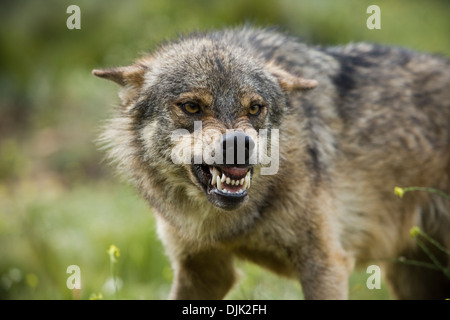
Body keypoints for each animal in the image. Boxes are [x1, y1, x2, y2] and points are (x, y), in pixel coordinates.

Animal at [92, 27, 450, 300]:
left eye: (255, 108)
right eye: (192, 106)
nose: (239, 143)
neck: (229, 223)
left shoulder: (326, 264)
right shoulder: (202, 270)